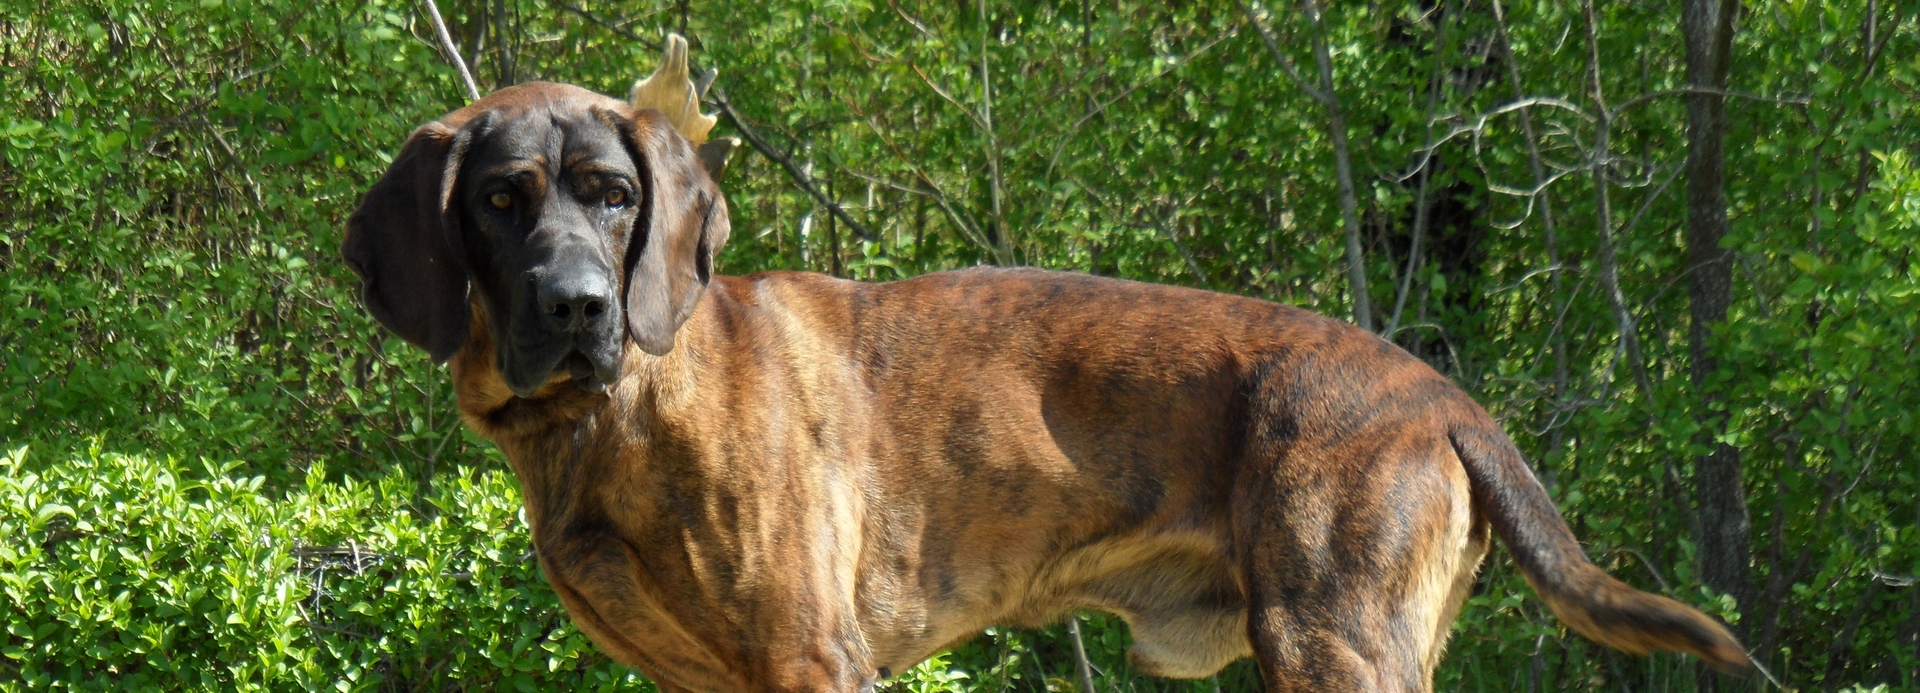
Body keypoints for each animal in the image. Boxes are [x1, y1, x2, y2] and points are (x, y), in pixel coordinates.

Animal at [337, 79, 1751, 687]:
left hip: (1331, 640)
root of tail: (1446, 402)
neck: (603, 418)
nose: (581, 306)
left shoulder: (807, 654)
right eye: (503, 201)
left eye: (615, 197)